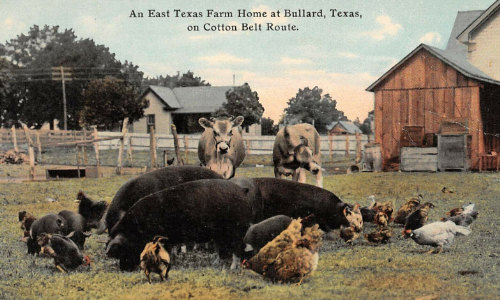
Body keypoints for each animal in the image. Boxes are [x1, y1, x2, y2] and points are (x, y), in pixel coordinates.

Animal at [106, 180, 254, 272]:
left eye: (124, 249)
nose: (124, 269)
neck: (138, 229)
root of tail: (242, 191)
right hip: (220, 233)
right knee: (222, 249)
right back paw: (216, 263)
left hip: (236, 230)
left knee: (237, 249)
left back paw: (232, 268)